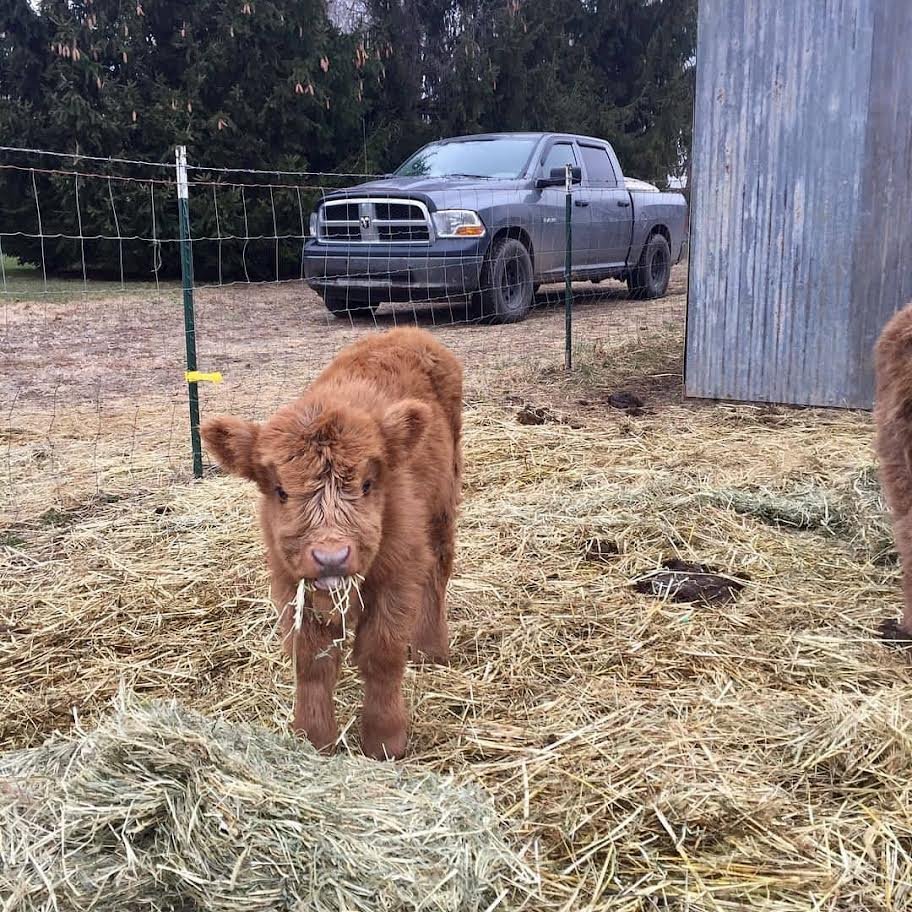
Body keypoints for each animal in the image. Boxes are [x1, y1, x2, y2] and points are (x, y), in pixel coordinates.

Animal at [201, 328, 463, 758]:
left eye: (368, 484)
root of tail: (408, 332)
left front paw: (384, 739)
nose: (331, 557)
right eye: (280, 491)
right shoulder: (291, 584)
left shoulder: (397, 574)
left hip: (443, 507)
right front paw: (314, 737)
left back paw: (431, 650)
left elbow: (381, 654)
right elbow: (311, 662)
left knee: (438, 572)